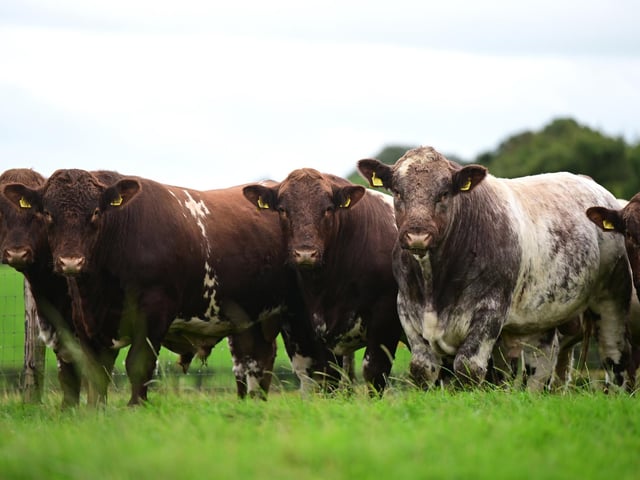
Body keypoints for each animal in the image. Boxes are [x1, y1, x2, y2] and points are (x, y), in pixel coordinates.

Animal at [4, 169, 303, 405]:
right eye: (46, 214)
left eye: (96, 212)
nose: (70, 261)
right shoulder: (86, 322)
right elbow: (95, 371)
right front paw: (94, 411)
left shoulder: (154, 312)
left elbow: (139, 363)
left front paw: (135, 406)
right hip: (251, 319)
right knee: (254, 360)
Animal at [242, 168, 403, 393]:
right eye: (282, 209)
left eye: (328, 209)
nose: (305, 254)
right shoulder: (319, 328)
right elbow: (330, 378)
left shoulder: (384, 320)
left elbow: (374, 372)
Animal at [358, 146, 634, 391]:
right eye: (397, 192)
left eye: (444, 193)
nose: (417, 236)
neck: (433, 286)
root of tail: (591, 184)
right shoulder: (407, 309)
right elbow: (422, 369)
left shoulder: (490, 310)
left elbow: (468, 368)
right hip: (541, 316)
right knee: (541, 365)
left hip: (612, 297)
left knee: (614, 355)